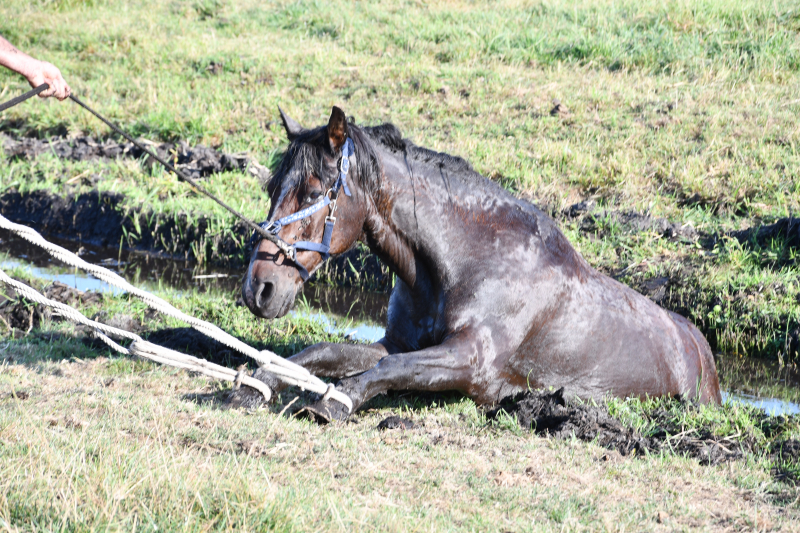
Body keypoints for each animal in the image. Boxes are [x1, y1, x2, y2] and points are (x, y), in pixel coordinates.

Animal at [238, 106, 721, 421]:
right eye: (272, 186)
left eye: (314, 191)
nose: (258, 288)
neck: (465, 260)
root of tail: (702, 351)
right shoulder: (397, 342)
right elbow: (325, 353)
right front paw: (258, 383)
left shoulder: (471, 360)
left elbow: (386, 370)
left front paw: (335, 401)